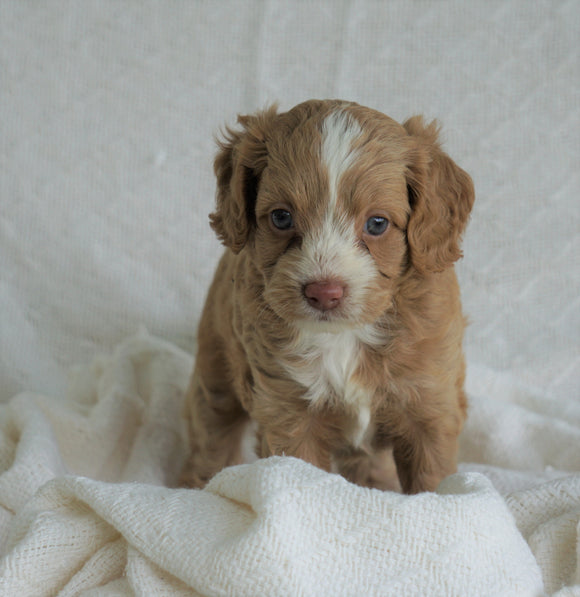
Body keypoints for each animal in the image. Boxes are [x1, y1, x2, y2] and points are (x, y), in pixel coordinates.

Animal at [182, 99, 476, 494]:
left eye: (377, 224)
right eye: (281, 217)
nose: (324, 293)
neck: (345, 336)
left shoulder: (430, 403)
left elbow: (432, 477)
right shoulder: (288, 411)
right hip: (215, 363)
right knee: (212, 429)